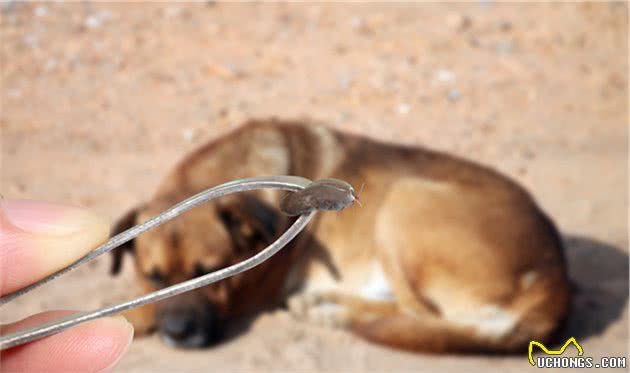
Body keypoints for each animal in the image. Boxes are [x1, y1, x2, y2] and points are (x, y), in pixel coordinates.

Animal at [110, 119, 572, 352]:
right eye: (153, 276)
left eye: (212, 273)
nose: (178, 336)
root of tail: (556, 280)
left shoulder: (256, 289)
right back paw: (323, 303)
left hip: (404, 199)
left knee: (418, 314)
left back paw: (331, 312)